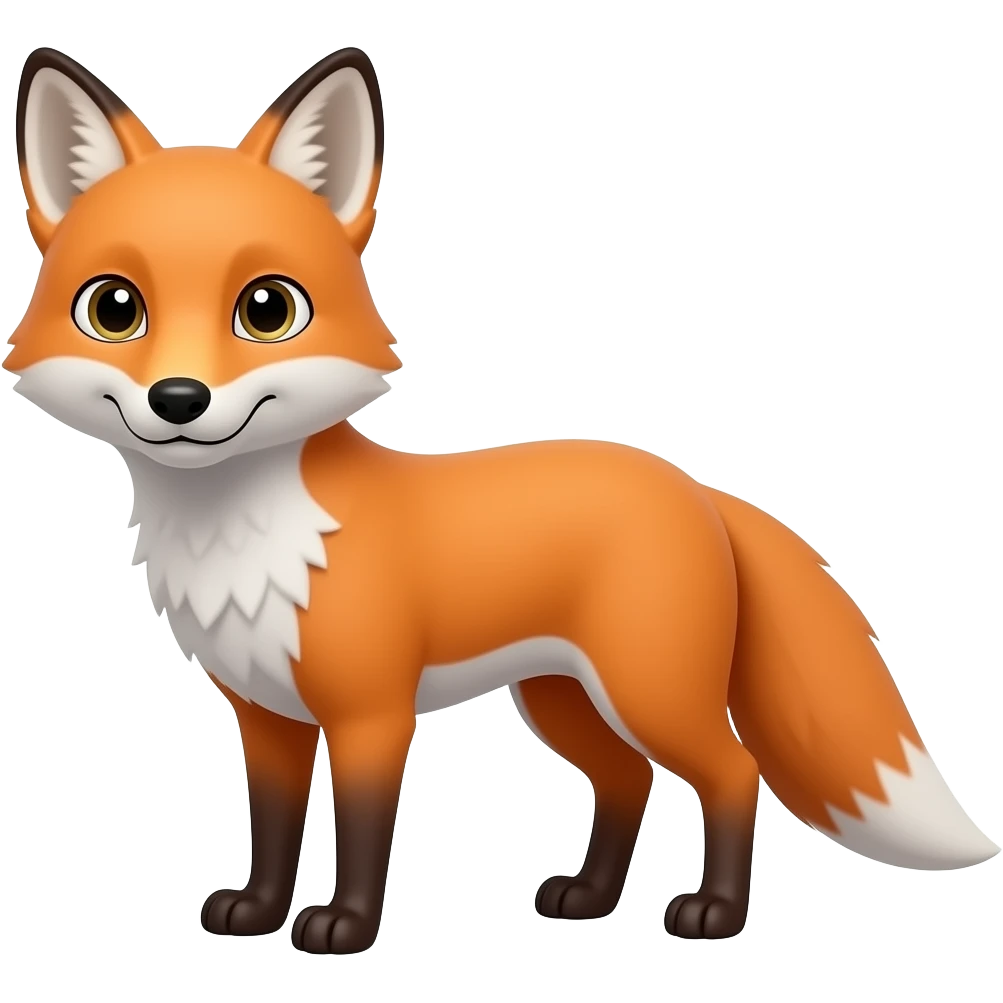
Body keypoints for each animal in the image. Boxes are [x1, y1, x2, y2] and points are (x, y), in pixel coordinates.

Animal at [7, 45, 999, 955]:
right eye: (114, 308)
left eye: (266, 309)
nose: (178, 400)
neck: (248, 538)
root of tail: (692, 484)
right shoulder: (267, 716)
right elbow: (275, 826)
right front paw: (255, 912)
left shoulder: (372, 712)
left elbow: (360, 832)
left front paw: (344, 926)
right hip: (562, 698)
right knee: (626, 781)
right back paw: (589, 899)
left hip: (647, 689)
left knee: (731, 770)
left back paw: (713, 914)